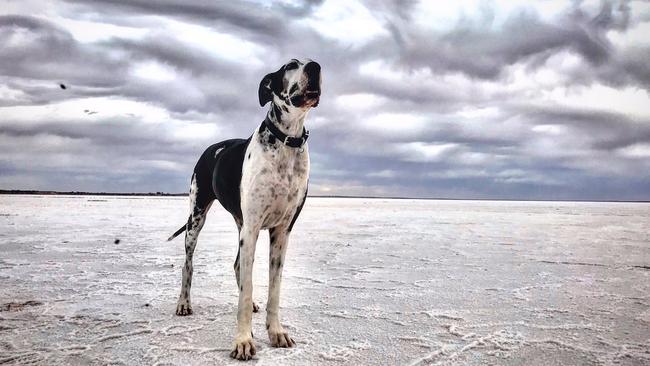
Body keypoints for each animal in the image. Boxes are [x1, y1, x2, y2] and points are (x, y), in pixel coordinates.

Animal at [166, 58, 320, 358]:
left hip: (240, 224)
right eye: (291, 65)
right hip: (197, 217)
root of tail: (211, 147)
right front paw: (243, 341)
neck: (287, 141)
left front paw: (275, 332)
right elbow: (247, 289)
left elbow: (274, 289)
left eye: (312, 63)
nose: (316, 68)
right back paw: (183, 303)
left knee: (238, 265)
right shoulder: (252, 228)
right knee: (188, 264)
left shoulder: (281, 231)